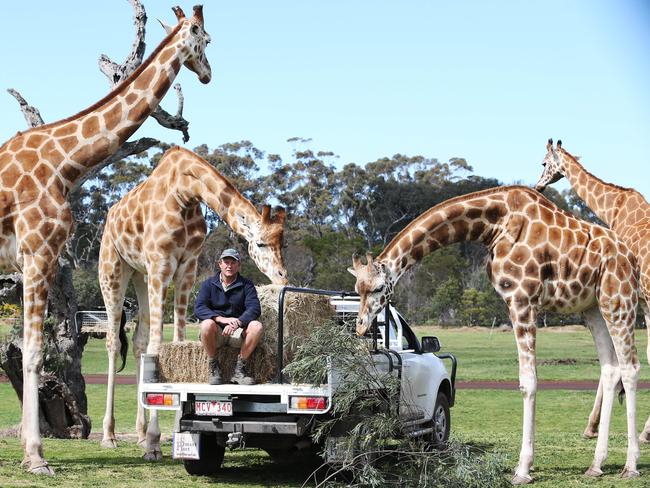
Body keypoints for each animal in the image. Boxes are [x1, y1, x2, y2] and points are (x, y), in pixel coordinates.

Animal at [0, 5, 210, 474]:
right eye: (205, 39)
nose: (208, 73)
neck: (65, 163)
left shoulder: (32, 259)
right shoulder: (39, 251)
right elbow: (34, 352)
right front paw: (36, 456)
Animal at [98, 145, 286, 458]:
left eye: (282, 243)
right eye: (260, 243)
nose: (283, 277)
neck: (185, 192)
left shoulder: (187, 265)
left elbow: (175, 339)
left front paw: (172, 428)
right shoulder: (161, 264)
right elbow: (158, 344)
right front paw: (155, 442)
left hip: (140, 274)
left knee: (137, 342)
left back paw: (138, 434)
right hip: (113, 268)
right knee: (113, 341)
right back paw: (109, 435)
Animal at [346, 185, 640, 482]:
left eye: (378, 288)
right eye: (357, 288)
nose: (360, 326)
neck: (493, 224)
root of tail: (631, 258)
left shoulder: (522, 299)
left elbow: (528, 381)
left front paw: (523, 469)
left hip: (618, 299)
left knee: (630, 367)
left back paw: (631, 465)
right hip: (592, 306)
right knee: (610, 368)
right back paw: (596, 464)